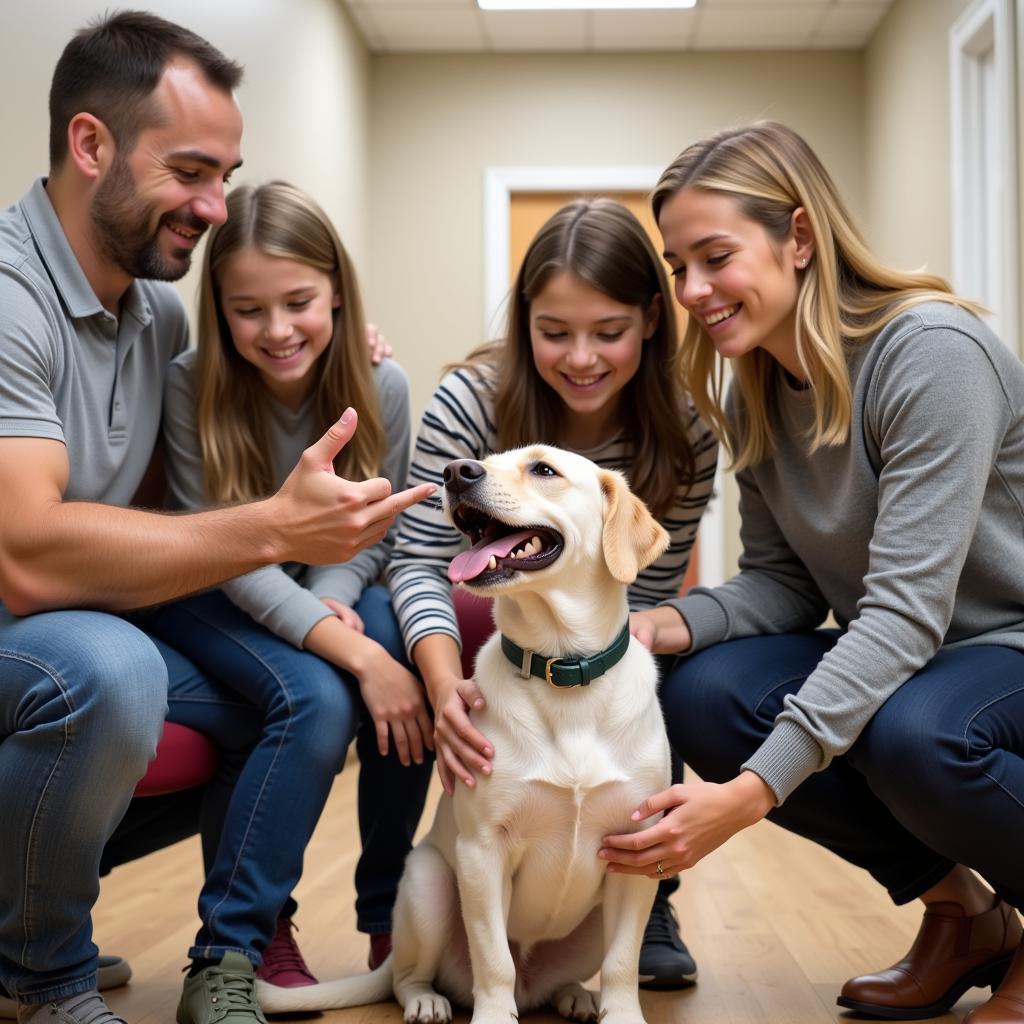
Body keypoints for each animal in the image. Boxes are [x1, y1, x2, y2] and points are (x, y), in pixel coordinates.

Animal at [256, 446, 671, 1024]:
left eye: (544, 469)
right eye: (487, 459)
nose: (456, 473)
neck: (562, 670)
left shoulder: (636, 853)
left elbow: (622, 962)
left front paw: (622, 1013)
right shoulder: (482, 852)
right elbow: (493, 959)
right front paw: (494, 1016)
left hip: (584, 929)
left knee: (558, 980)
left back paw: (576, 995)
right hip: (429, 885)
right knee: (413, 977)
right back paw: (427, 1001)